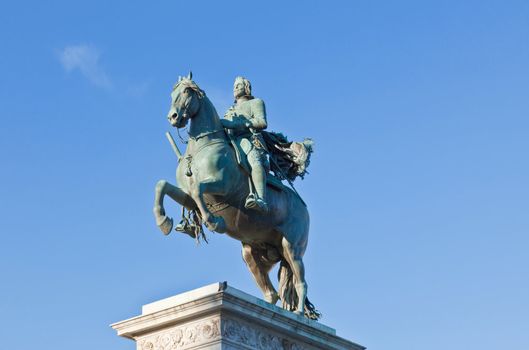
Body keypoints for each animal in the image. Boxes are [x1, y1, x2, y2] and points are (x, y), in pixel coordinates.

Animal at [153, 74, 318, 320]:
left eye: (187, 92)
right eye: (172, 93)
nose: (173, 117)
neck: (201, 148)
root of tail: (304, 208)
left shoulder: (222, 185)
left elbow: (198, 188)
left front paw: (214, 222)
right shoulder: (187, 197)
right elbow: (162, 186)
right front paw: (164, 221)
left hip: (292, 248)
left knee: (300, 282)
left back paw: (298, 313)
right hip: (253, 253)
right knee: (272, 293)